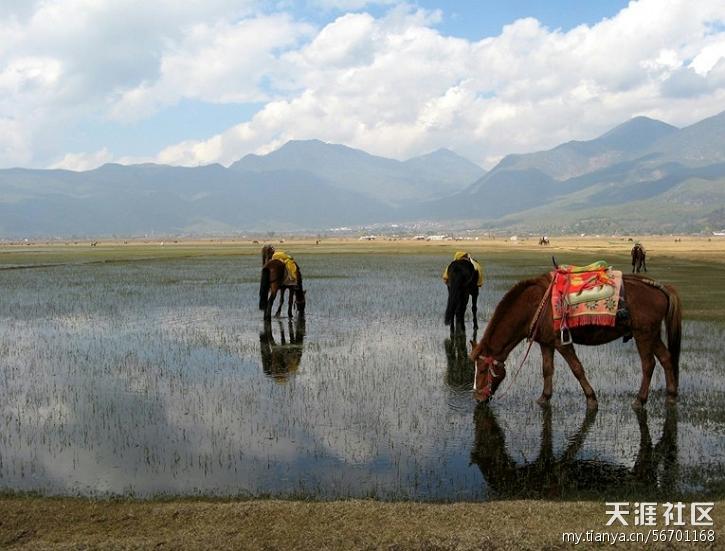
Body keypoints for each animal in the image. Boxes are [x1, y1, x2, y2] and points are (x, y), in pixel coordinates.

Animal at [470, 272, 680, 408]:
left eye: (483, 370)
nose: (478, 398)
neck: (534, 306)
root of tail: (661, 288)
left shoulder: (562, 343)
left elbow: (577, 369)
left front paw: (591, 399)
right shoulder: (546, 343)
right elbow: (547, 370)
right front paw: (544, 398)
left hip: (643, 335)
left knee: (648, 365)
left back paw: (640, 400)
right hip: (653, 335)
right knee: (666, 359)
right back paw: (671, 396)